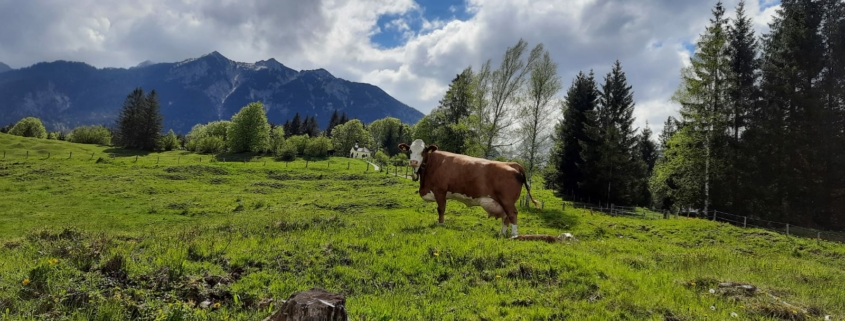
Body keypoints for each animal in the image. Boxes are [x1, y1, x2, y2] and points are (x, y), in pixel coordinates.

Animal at [398, 138, 540, 235]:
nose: (413, 162)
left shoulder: (440, 191)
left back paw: (514, 236)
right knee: (506, 217)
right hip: (503, 202)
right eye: (410, 150)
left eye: (423, 151)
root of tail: (512, 164)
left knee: (512, 215)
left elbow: (441, 209)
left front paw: (440, 224)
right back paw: (501, 234)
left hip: (507, 200)